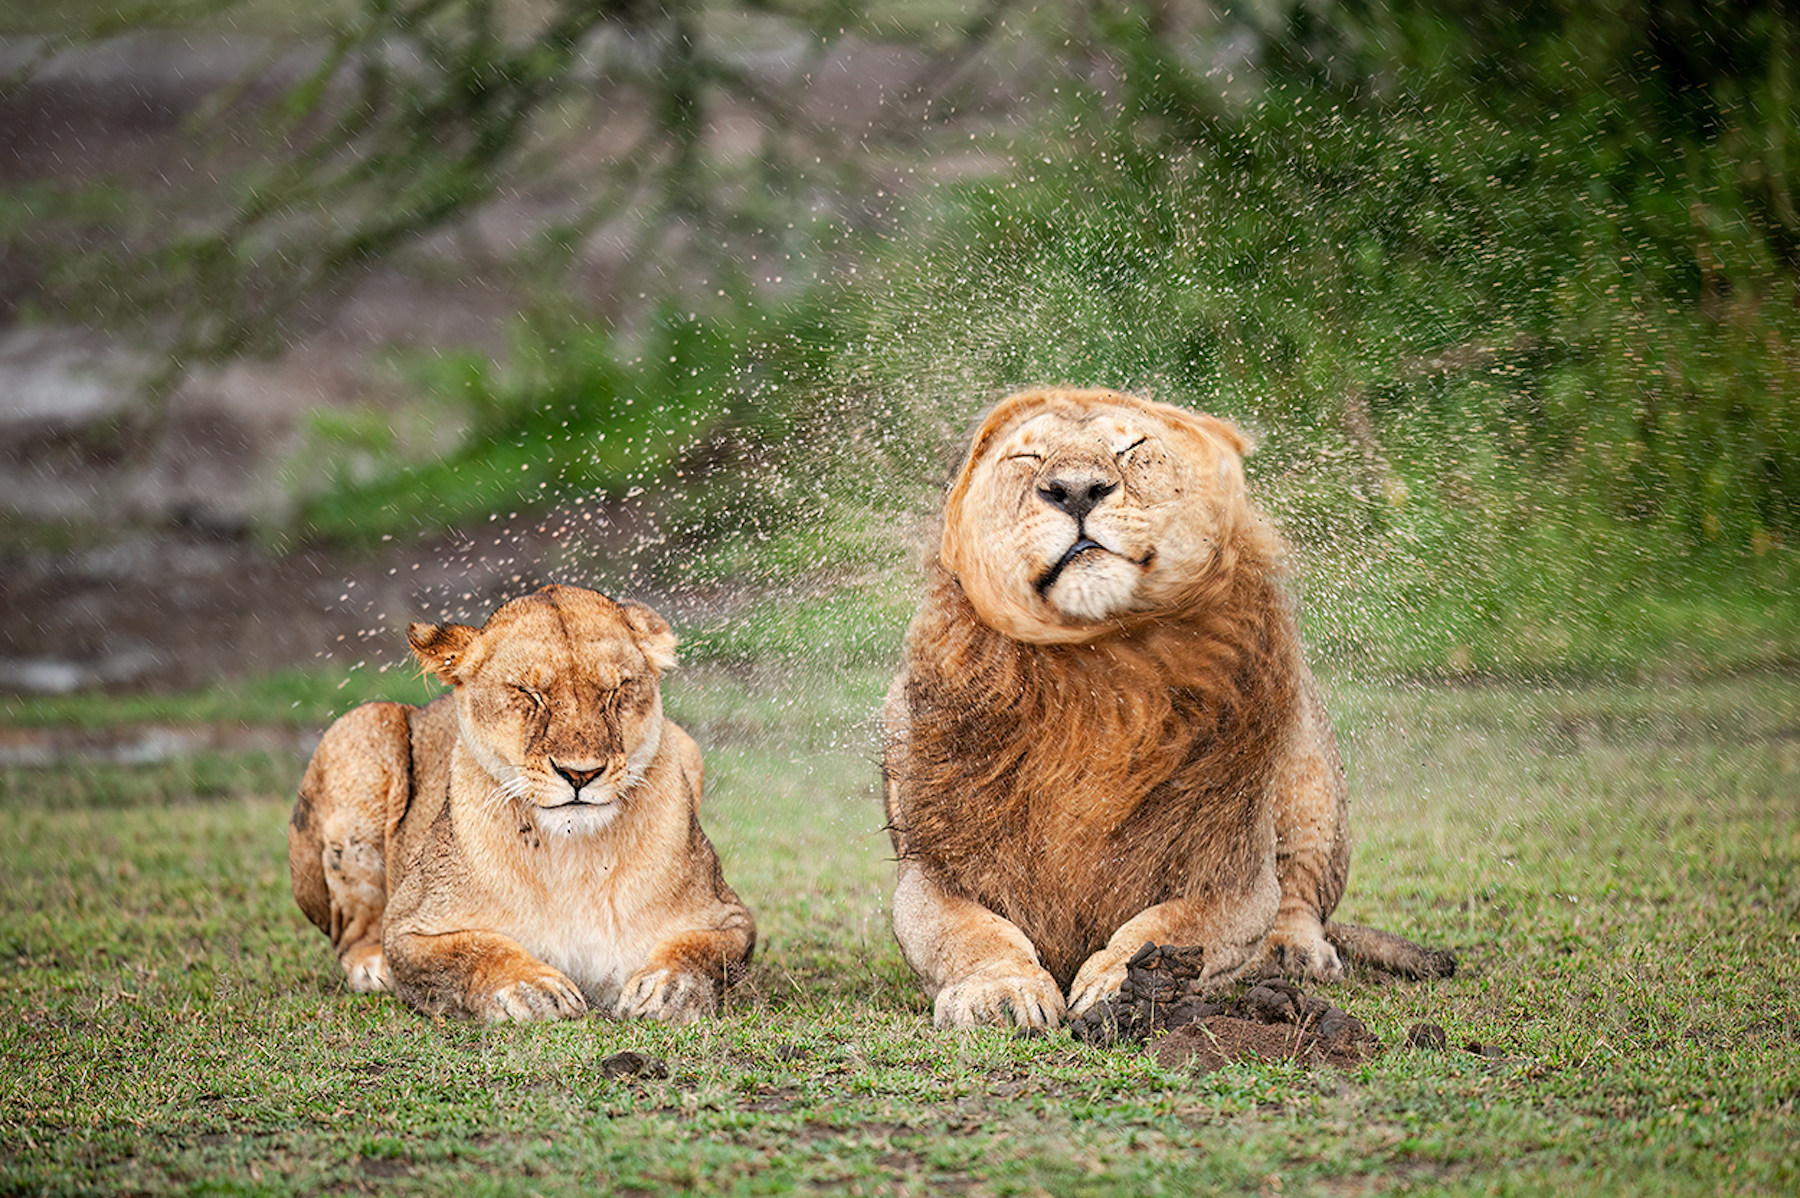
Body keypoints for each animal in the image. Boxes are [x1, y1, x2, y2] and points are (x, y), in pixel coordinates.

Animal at [289, 584, 754, 1022]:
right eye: (529, 693)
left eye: (615, 691)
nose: (580, 774)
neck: (575, 859)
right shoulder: (408, 928)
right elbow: (473, 951)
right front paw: (531, 989)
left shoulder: (728, 916)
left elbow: (705, 951)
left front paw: (668, 987)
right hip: (360, 728)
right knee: (351, 934)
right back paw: (372, 967)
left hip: (685, 740)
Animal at [883, 387, 1453, 1030]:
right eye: (1026, 458)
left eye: (1131, 447)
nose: (1075, 490)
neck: (1097, 683)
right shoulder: (930, 873)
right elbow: (973, 934)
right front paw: (1001, 990)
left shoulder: (1235, 874)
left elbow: (1171, 925)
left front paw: (1127, 986)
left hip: (1310, 782)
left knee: (1301, 895)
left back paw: (1292, 952)